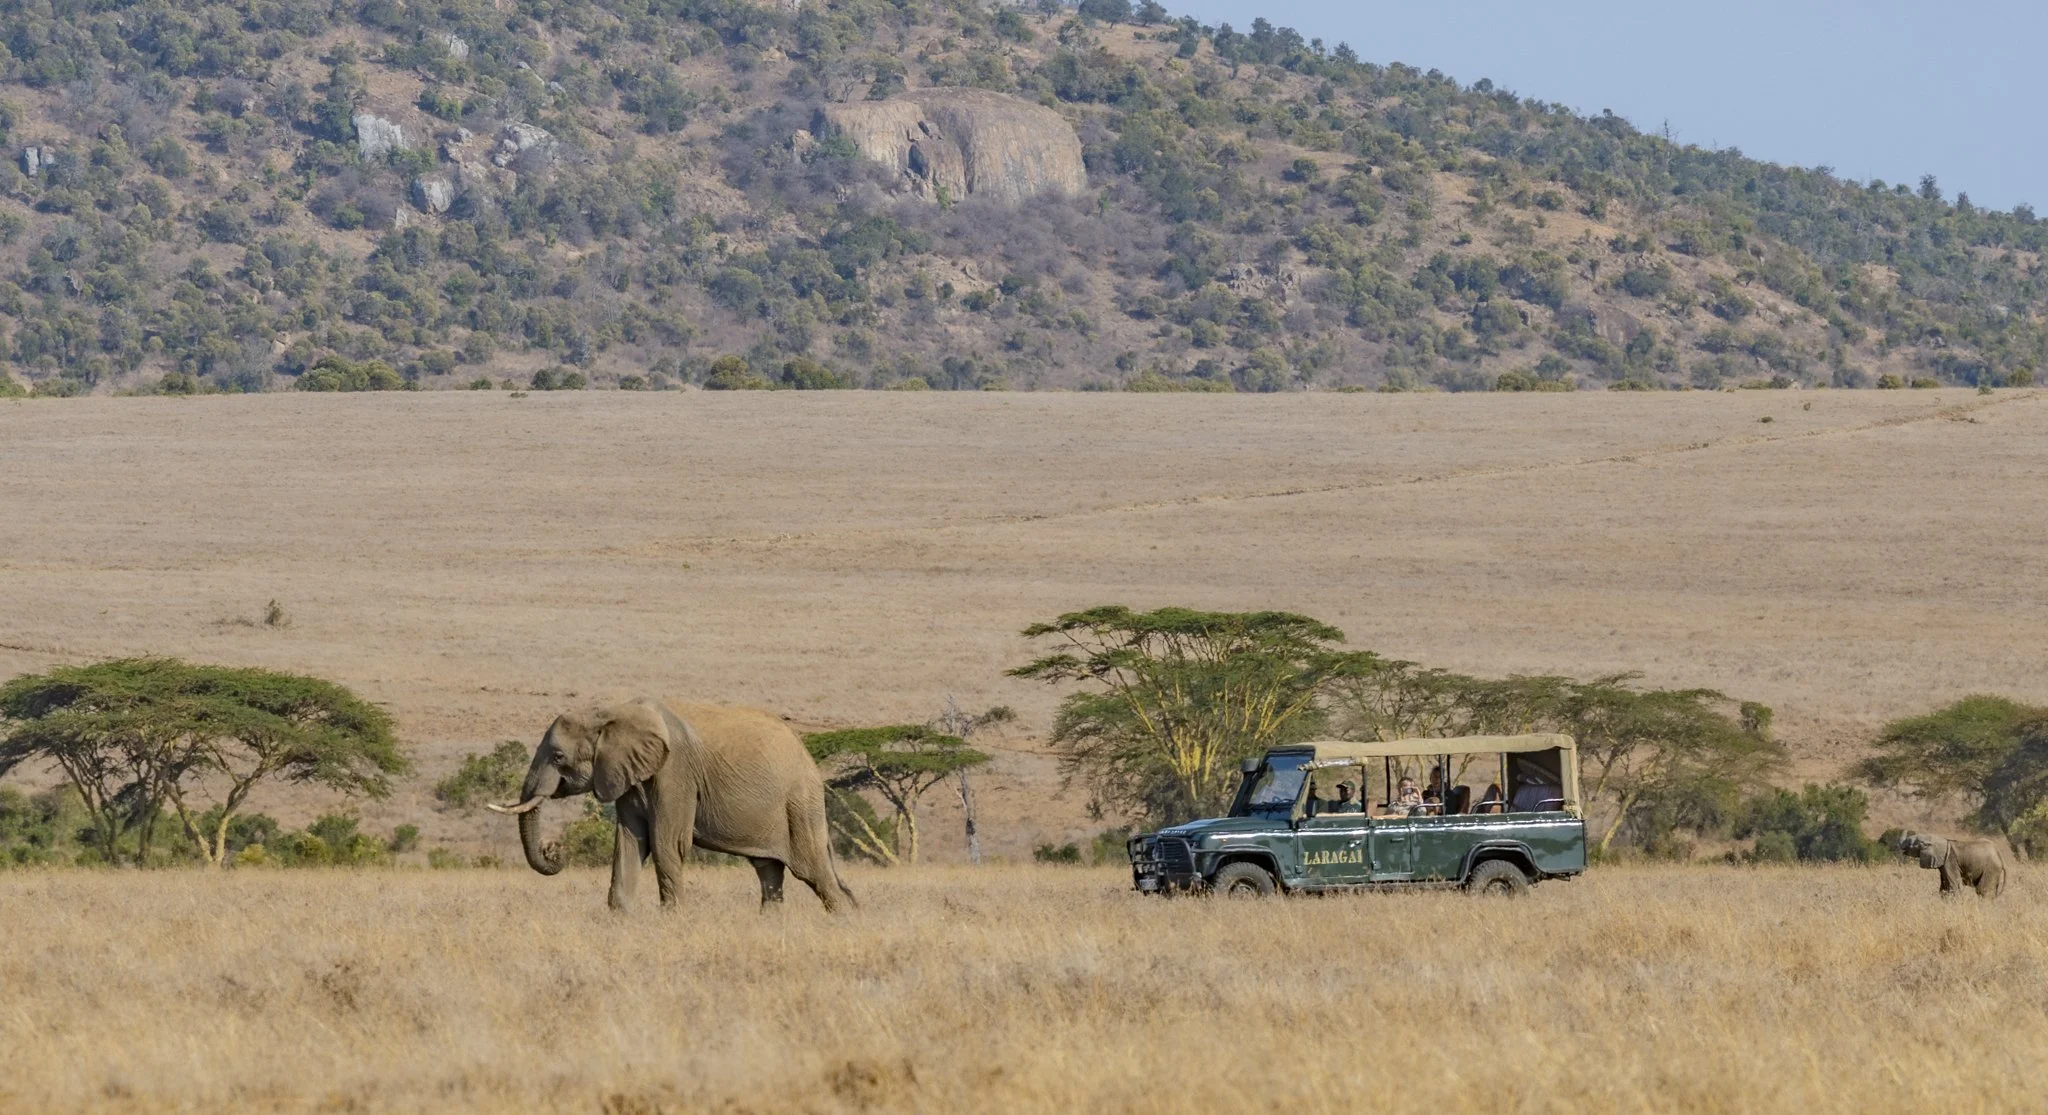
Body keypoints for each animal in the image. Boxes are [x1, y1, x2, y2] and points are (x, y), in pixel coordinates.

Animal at [489, 699, 855, 912]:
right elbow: (629, 843)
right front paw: (619, 919)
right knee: (769, 873)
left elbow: (667, 844)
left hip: (799, 804)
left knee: (814, 873)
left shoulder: (676, 771)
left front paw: (672, 920)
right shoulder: (626, 773)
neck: (611, 712)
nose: (553, 849)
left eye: (558, 756)